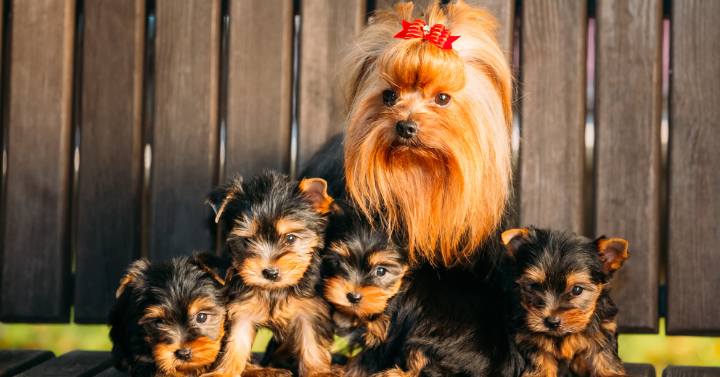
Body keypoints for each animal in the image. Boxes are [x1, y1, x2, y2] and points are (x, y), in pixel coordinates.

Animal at [204, 171, 336, 376]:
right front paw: (224, 371)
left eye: (291, 238)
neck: (273, 290)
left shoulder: (310, 309)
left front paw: (317, 371)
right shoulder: (240, 308)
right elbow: (236, 342)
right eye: (247, 241)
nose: (270, 272)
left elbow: (311, 340)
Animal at [500, 226, 632, 376]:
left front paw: (610, 372)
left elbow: (604, 357)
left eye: (577, 290)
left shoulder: (602, 331)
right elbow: (540, 361)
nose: (551, 322)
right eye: (534, 286)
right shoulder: (530, 340)